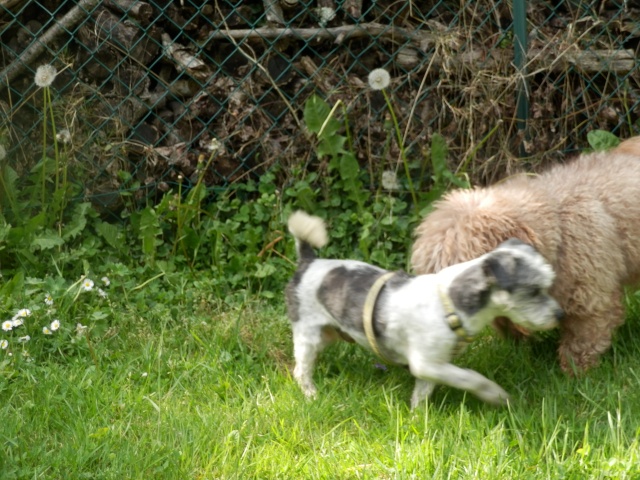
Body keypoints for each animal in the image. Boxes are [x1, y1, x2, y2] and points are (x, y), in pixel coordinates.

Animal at [284, 211, 560, 408]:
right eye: (534, 290)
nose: (560, 315)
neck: (450, 303)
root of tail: (308, 262)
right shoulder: (427, 363)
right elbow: (470, 377)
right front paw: (497, 396)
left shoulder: (432, 364)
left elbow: (422, 393)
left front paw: (419, 418)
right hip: (308, 334)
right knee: (300, 370)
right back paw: (311, 395)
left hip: (328, 334)